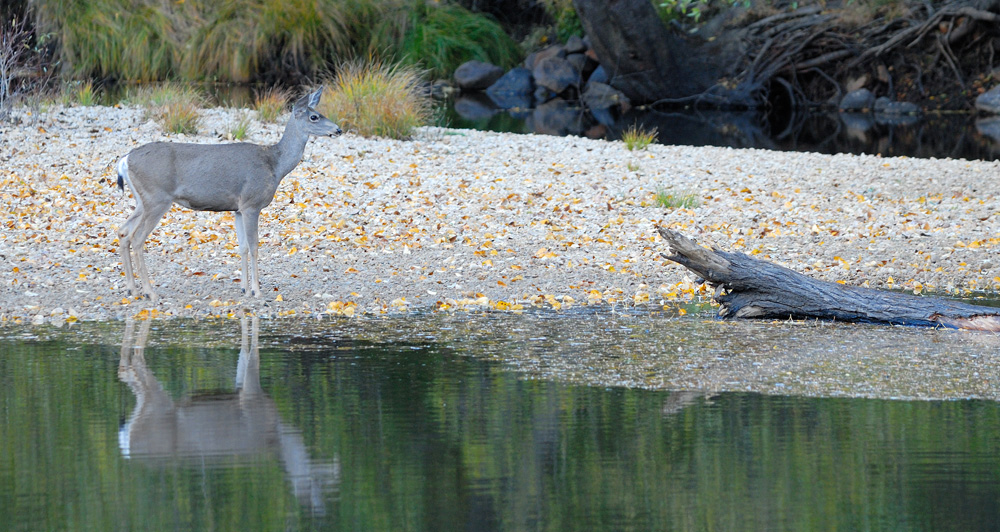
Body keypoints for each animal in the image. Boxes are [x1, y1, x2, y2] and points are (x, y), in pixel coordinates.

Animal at [115, 89, 342, 302]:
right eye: (314, 117)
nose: (338, 129)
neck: (275, 165)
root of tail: (125, 160)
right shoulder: (251, 203)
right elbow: (254, 246)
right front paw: (257, 291)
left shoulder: (238, 209)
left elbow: (242, 247)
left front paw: (244, 289)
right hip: (157, 198)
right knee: (137, 238)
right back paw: (149, 292)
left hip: (142, 200)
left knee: (123, 231)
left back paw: (132, 289)